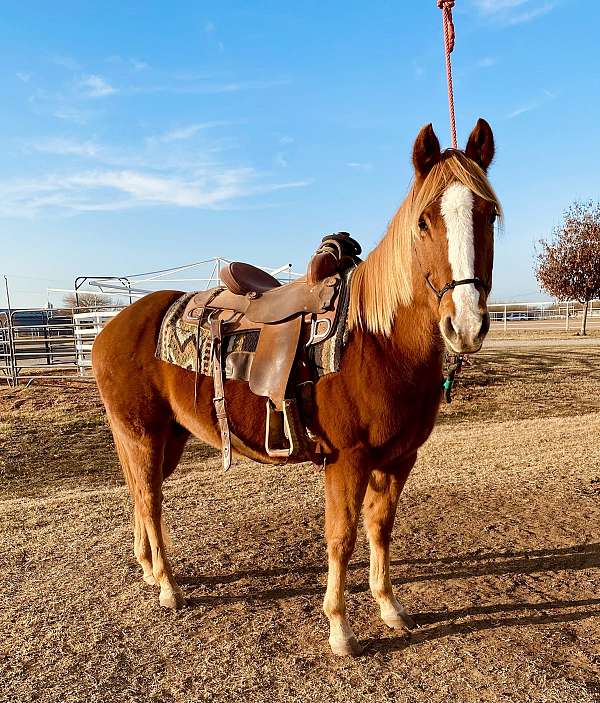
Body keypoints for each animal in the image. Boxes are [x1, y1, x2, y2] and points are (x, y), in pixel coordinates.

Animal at [92, 119, 502, 656]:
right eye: (423, 222)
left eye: (489, 214)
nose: (466, 325)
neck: (377, 340)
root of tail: (110, 327)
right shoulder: (348, 460)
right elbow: (341, 538)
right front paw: (340, 629)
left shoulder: (398, 459)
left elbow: (380, 530)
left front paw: (390, 607)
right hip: (142, 433)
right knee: (150, 499)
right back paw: (167, 586)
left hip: (166, 438)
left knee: (142, 495)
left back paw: (146, 569)